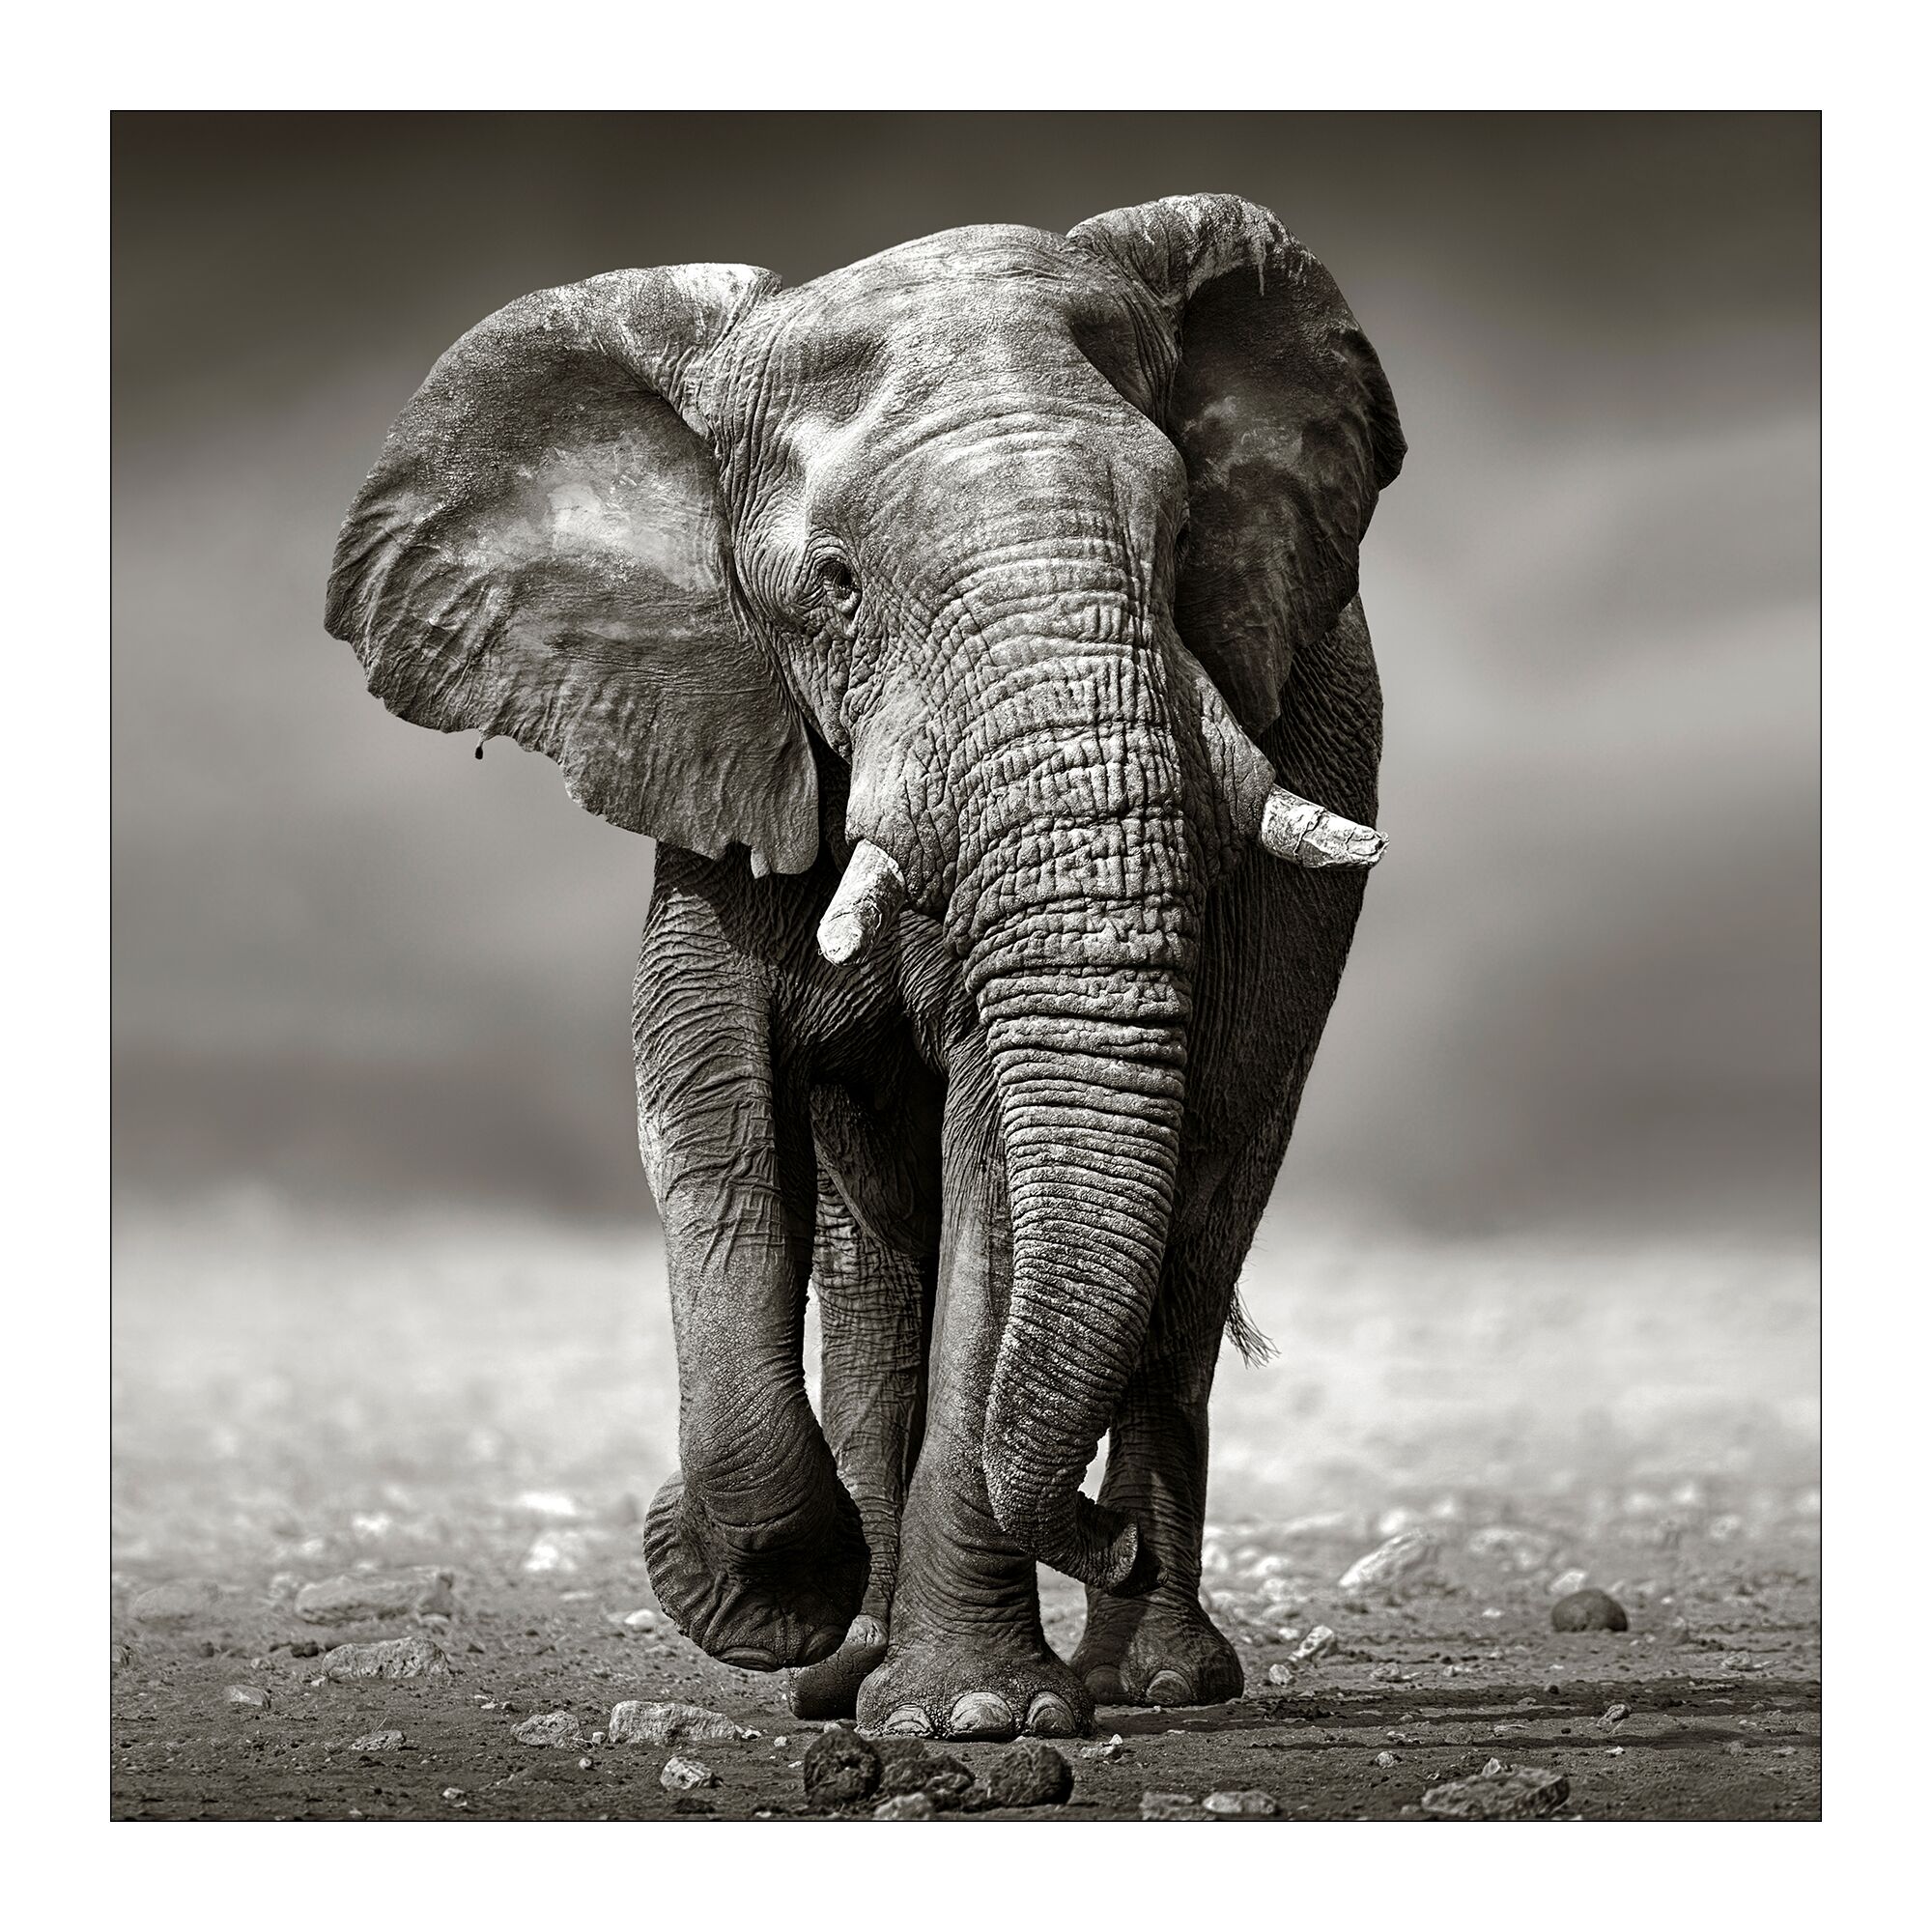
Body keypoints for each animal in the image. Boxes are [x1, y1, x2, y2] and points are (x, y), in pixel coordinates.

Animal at [325, 193, 1403, 1743]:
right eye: (834, 588)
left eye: (1183, 535)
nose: (1094, 1537)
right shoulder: (718, 731)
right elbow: (706, 1110)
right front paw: (764, 1602)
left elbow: (997, 1158)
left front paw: (975, 1717)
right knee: (875, 1266)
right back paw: (853, 1668)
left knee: (1196, 1224)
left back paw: (1148, 1678)